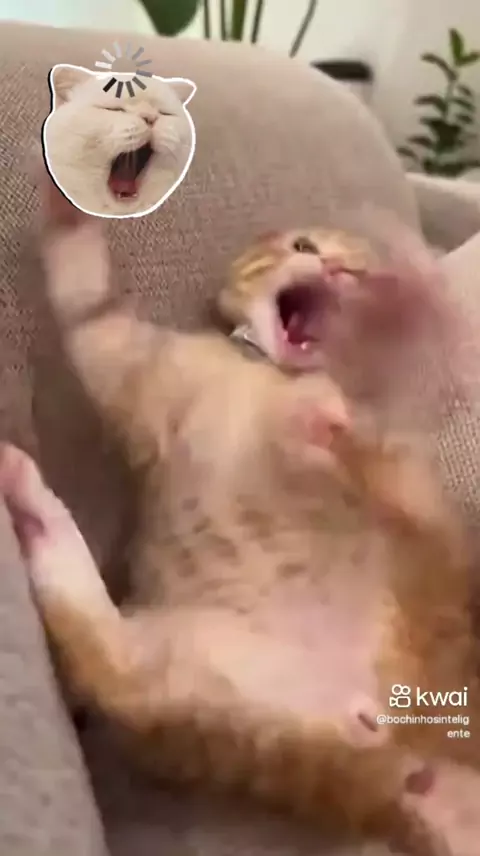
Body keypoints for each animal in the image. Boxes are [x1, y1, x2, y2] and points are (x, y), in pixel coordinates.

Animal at [22, 169, 480, 855]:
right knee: (103, 651)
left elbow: (367, 428)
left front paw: (408, 326)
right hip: (199, 671)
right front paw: (71, 210)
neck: (267, 374)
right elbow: (87, 302)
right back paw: (28, 502)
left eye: (362, 269)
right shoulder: (128, 361)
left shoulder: (397, 476)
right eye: (303, 245)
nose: (339, 268)